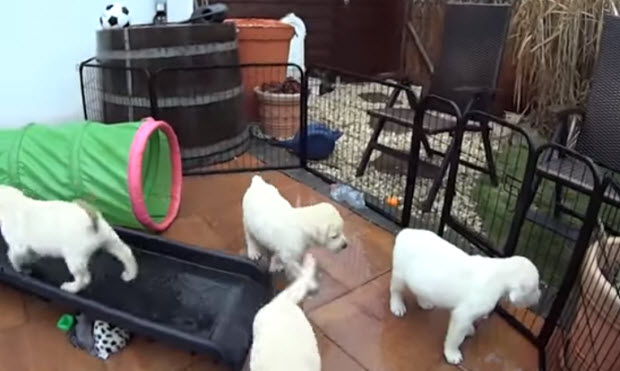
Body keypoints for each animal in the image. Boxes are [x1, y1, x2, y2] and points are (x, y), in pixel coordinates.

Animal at [0, 186, 138, 294]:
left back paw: (71, 287)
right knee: (125, 252)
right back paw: (130, 274)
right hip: (109, 238)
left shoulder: (18, 246)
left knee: (84, 278)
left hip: (75, 256)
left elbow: (14, 256)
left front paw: (19, 268)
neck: (12, 202)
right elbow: (31, 254)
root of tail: (92, 221)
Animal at [390, 230, 540, 366]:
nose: (539, 297)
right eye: (534, 288)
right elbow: (456, 335)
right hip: (400, 272)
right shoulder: (463, 314)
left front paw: (469, 330)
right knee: (396, 289)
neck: (501, 273)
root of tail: (404, 233)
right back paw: (397, 306)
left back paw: (425, 302)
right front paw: (452, 354)